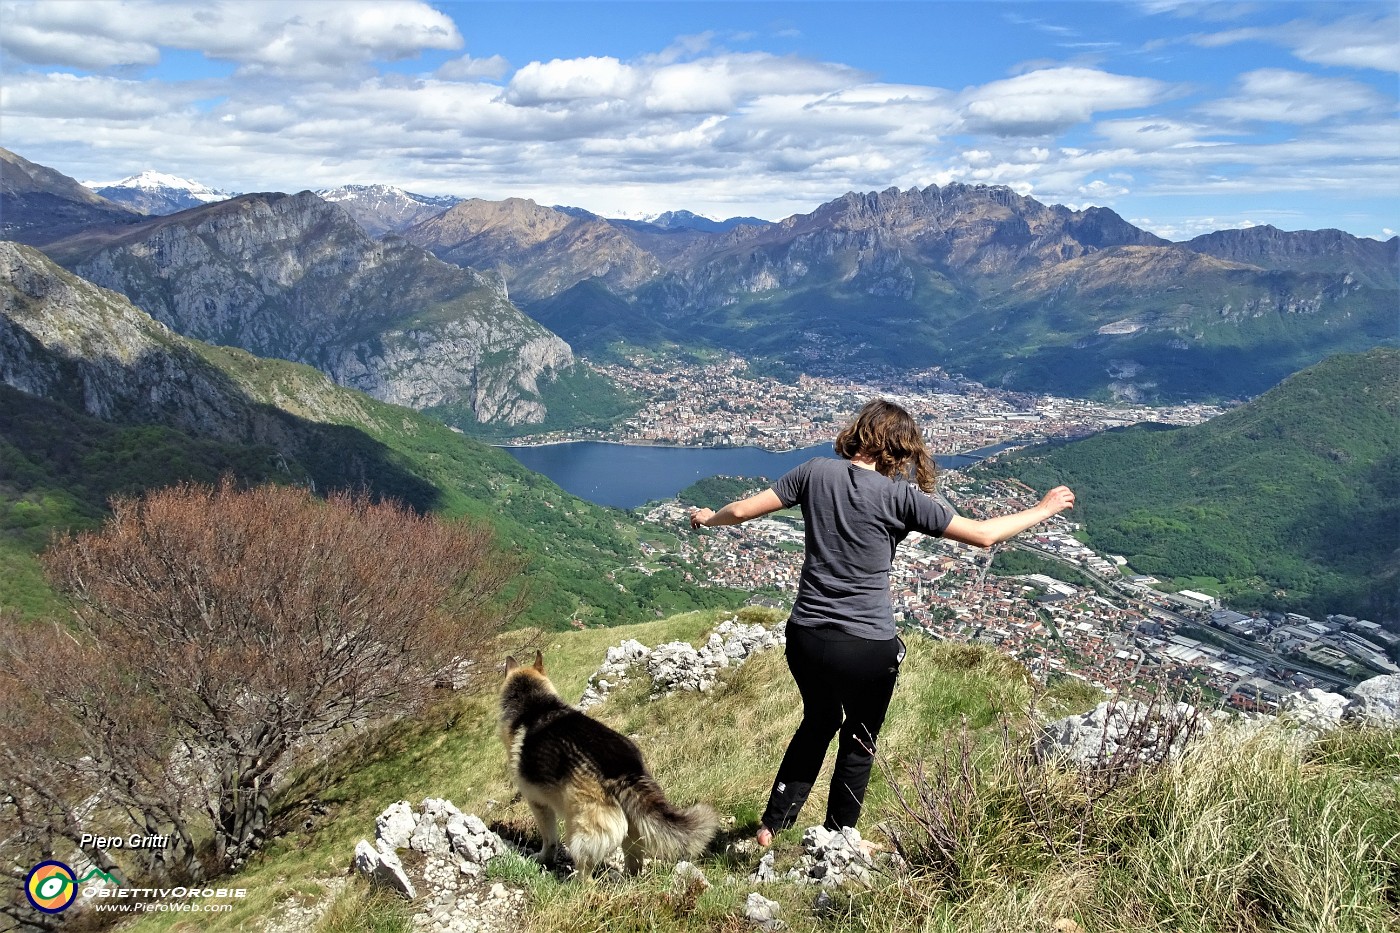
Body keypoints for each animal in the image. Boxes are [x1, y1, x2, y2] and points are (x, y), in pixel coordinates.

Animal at [498, 650, 716, 874]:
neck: (533, 702)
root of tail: (623, 769)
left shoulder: (538, 804)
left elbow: (549, 840)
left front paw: (543, 859)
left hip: (580, 826)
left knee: (585, 867)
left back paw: (577, 881)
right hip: (632, 827)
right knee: (634, 861)